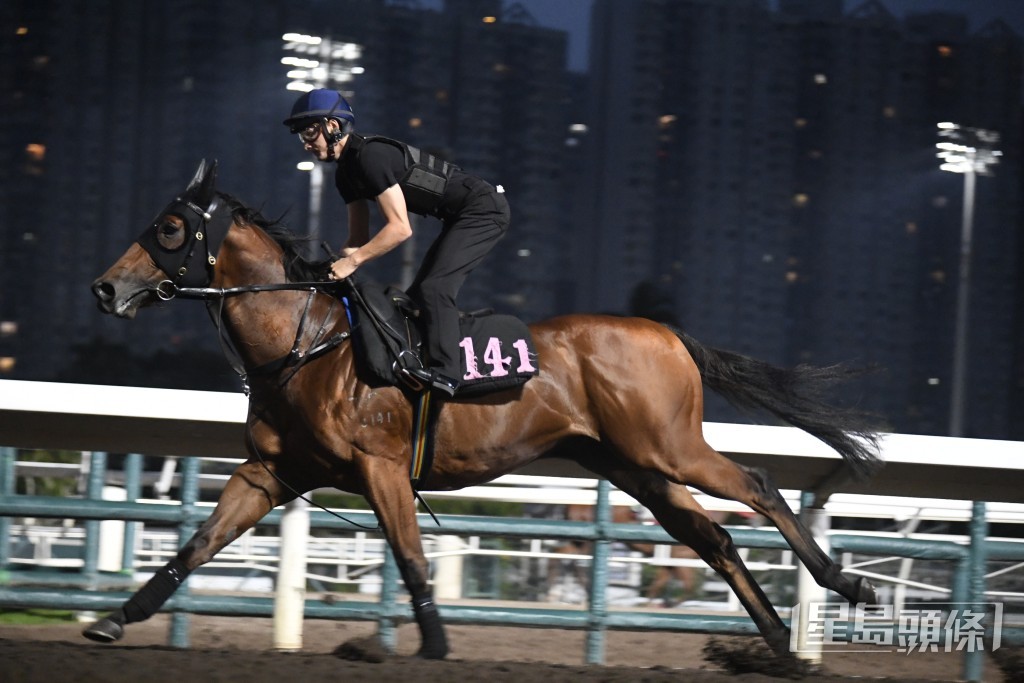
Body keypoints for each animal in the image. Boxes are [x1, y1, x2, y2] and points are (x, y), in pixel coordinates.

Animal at [86, 161, 880, 663]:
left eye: (168, 229)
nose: (104, 288)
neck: (307, 343)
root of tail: (670, 334)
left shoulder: (379, 466)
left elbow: (410, 557)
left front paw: (436, 645)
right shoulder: (272, 471)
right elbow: (196, 544)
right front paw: (114, 620)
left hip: (668, 447)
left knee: (758, 487)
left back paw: (845, 584)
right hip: (635, 466)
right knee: (711, 536)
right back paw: (776, 643)